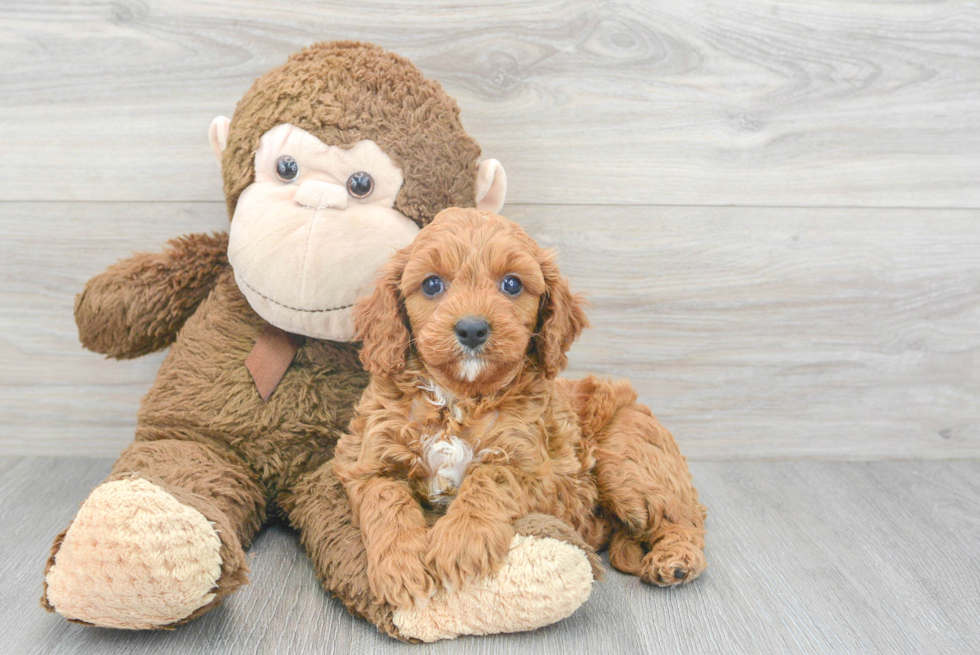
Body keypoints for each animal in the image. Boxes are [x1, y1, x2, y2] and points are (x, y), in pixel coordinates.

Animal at [334, 208, 704, 608]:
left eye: (511, 284)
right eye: (432, 285)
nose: (472, 329)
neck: (459, 397)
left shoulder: (537, 469)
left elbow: (490, 478)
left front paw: (461, 541)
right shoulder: (368, 462)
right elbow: (387, 501)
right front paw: (402, 567)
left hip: (626, 458)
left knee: (684, 516)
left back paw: (676, 559)